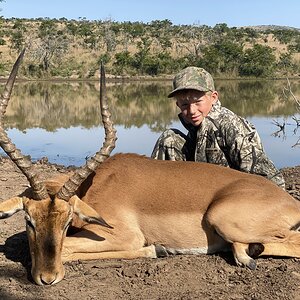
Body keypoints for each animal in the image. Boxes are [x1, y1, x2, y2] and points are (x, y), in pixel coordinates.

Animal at [0, 51, 300, 286]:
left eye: (65, 223)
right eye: (29, 220)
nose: (47, 278)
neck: (97, 184)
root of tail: (288, 201)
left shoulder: (122, 235)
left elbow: (71, 250)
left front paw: (155, 250)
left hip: (222, 218)